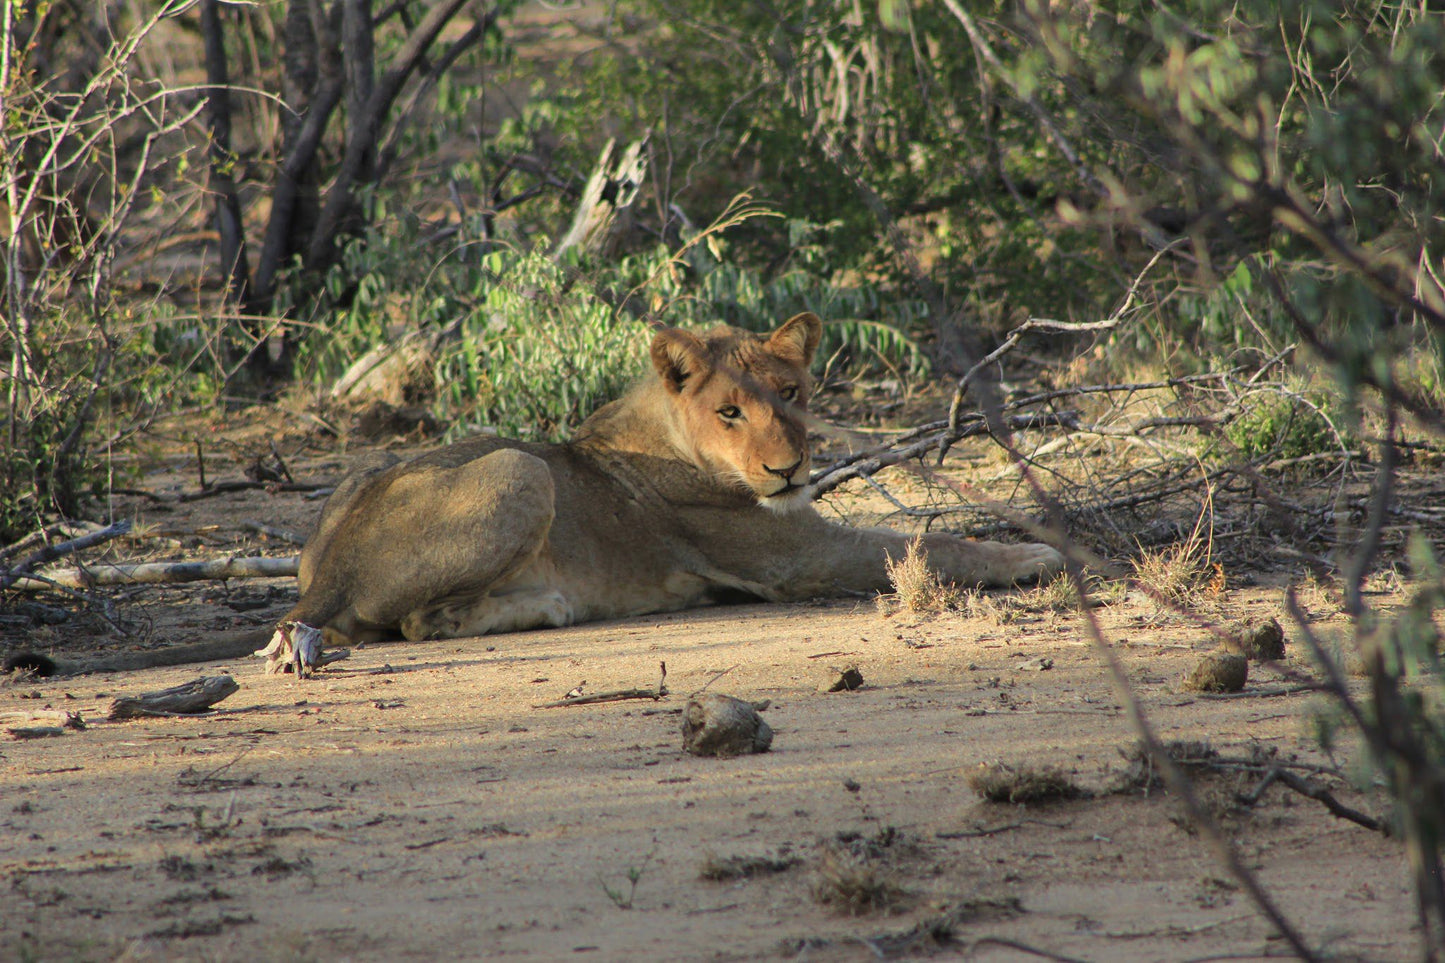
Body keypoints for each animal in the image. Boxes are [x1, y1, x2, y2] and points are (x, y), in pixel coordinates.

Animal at [257, 310, 1063, 670]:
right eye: (730, 411)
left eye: (791, 393)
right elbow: (928, 541)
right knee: (419, 622)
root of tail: (329, 568)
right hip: (523, 469)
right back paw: (549, 605)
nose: (789, 470)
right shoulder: (794, 555)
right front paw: (1034, 554)